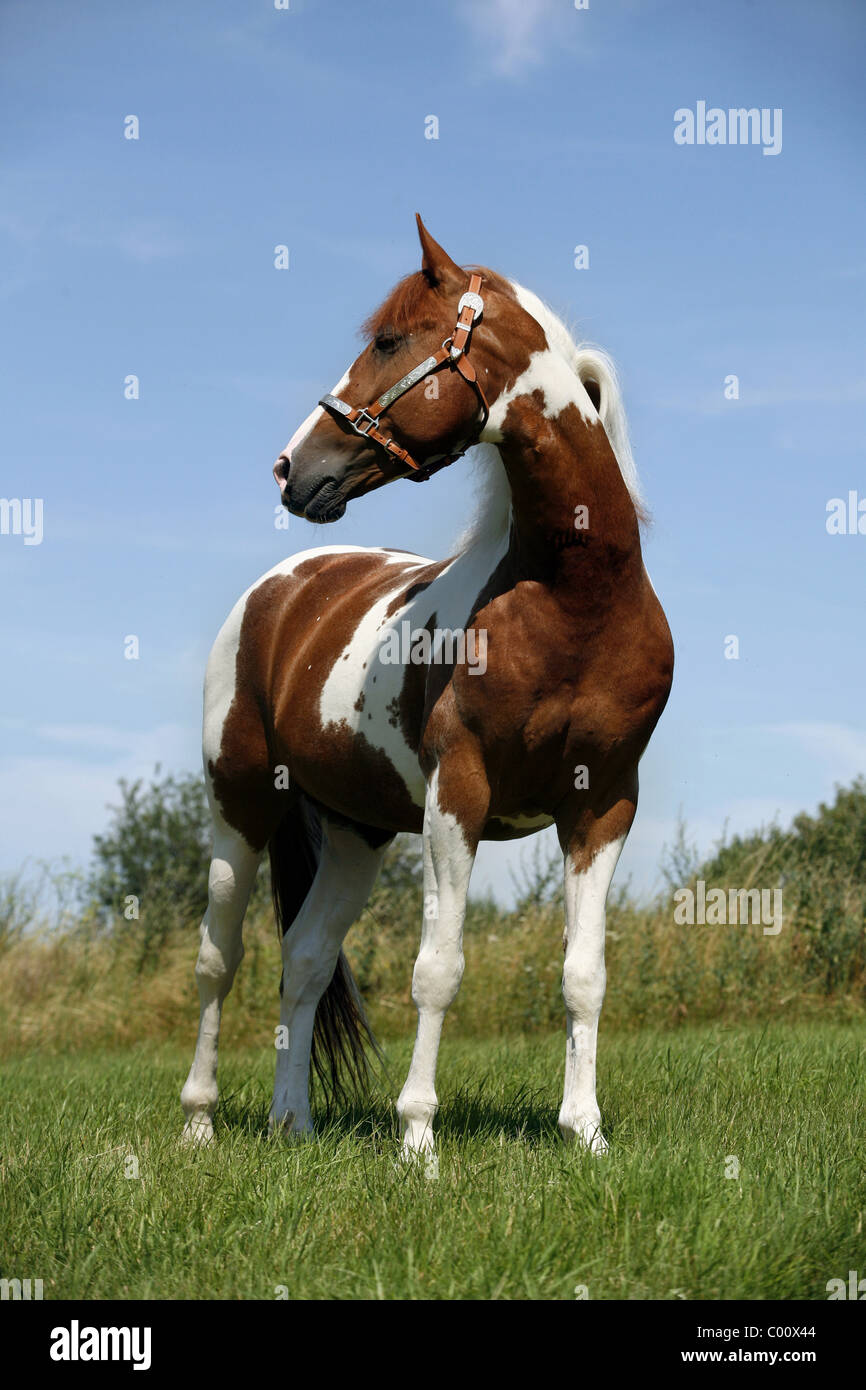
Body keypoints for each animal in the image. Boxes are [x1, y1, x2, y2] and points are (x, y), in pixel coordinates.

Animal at [179, 216, 675, 1162]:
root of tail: (284, 586)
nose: (291, 468)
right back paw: (197, 1123)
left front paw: (585, 1134)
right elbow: (438, 970)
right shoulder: (460, 794)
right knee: (219, 958)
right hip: (241, 804)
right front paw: (418, 1143)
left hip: (356, 830)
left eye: (388, 341)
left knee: (304, 959)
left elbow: (584, 975)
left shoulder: (603, 806)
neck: (574, 602)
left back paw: (293, 1122)